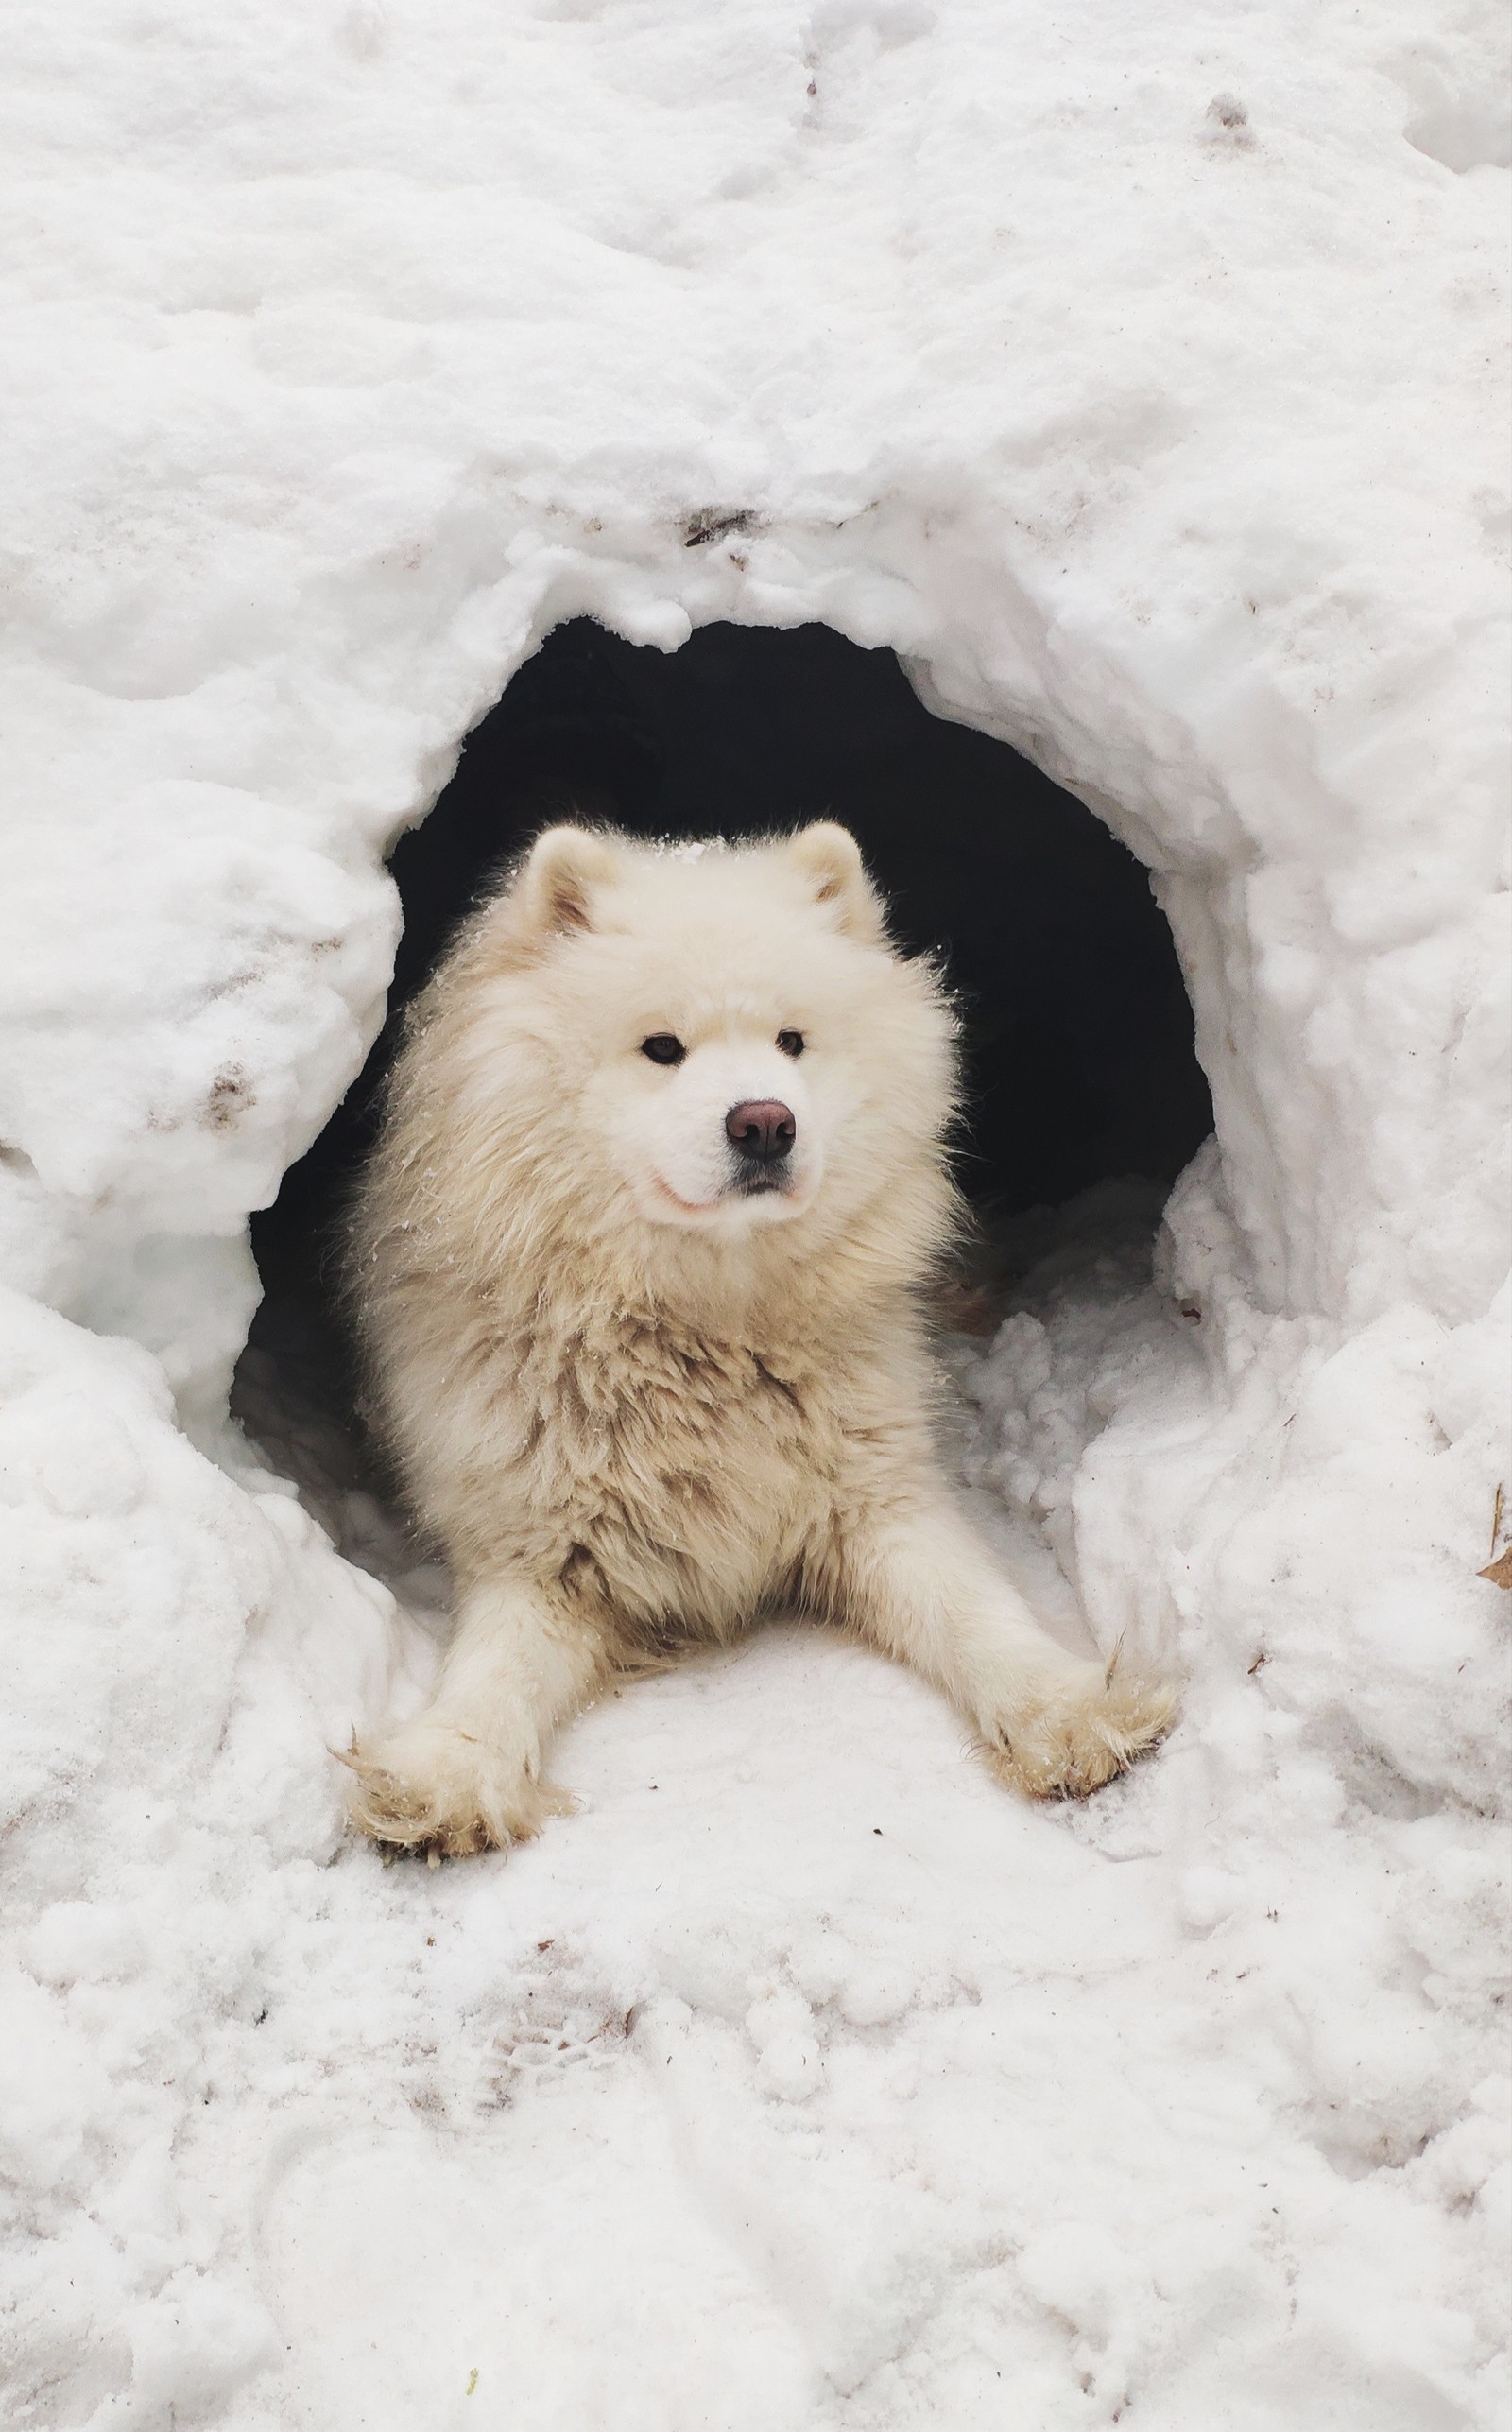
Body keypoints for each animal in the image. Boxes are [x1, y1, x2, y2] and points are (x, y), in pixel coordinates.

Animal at [347, 821, 1186, 1857]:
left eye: (792, 1041)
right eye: (661, 1048)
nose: (764, 1122)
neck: (705, 1330)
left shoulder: (877, 1497)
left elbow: (975, 1611)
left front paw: (1067, 1711)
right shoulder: (535, 1554)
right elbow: (493, 1675)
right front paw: (449, 1772)